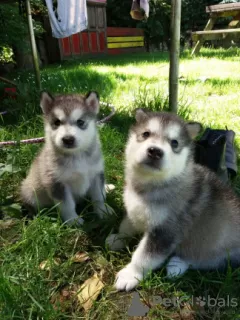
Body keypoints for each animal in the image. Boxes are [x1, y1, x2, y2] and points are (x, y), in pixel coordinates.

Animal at [20, 90, 110, 225]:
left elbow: (98, 196)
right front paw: (73, 220)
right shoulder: (56, 182)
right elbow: (67, 205)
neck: (76, 155)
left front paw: (103, 211)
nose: (68, 139)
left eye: (80, 122)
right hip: (30, 192)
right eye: (57, 122)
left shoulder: (96, 174)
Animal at [106, 111, 240, 292]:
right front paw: (118, 239)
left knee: (204, 259)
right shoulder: (134, 209)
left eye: (174, 142)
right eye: (146, 134)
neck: (152, 184)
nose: (155, 151)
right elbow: (127, 225)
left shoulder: (166, 231)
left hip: (218, 244)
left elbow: (144, 256)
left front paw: (130, 274)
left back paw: (176, 265)